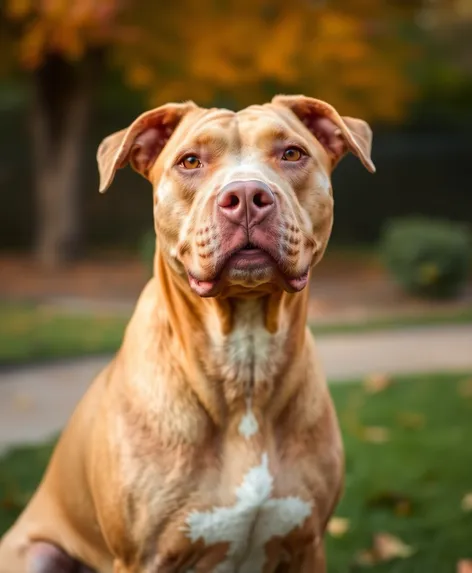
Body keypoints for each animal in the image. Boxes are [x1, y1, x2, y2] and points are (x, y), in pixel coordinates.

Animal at [0, 96, 376, 568]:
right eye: (190, 161)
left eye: (292, 153)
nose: (247, 197)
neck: (245, 364)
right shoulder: (142, 558)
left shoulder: (307, 545)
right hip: (35, 552)